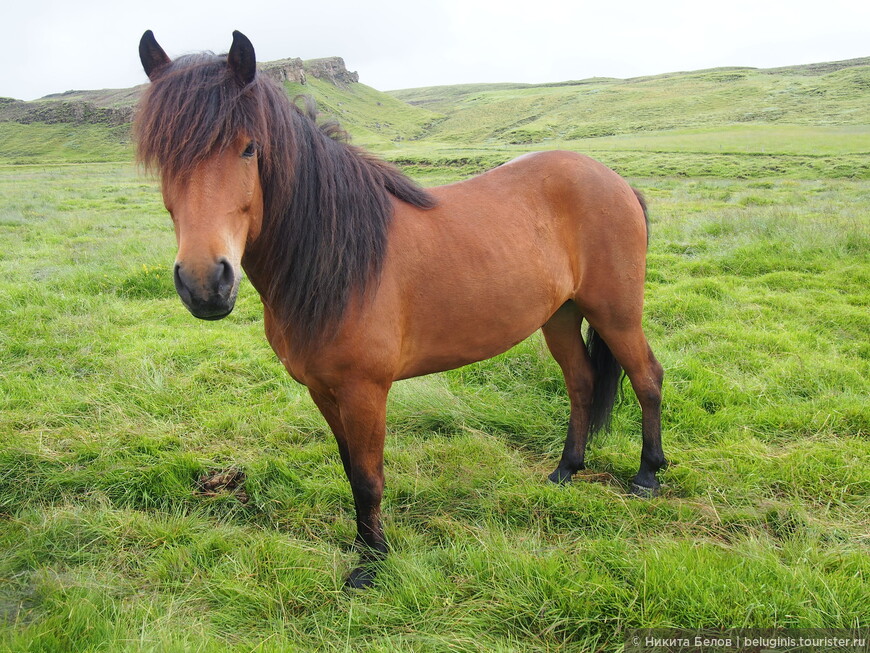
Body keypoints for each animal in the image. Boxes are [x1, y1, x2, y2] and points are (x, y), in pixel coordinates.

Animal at [138, 29, 668, 584]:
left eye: (249, 147)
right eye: (162, 156)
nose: (205, 283)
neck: (337, 257)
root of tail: (616, 181)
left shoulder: (365, 391)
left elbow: (368, 477)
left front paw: (371, 563)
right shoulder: (323, 391)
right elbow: (350, 469)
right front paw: (363, 547)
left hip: (615, 312)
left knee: (647, 378)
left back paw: (647, 475)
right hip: (560, 316)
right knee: (582, 382)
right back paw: (566, 469)